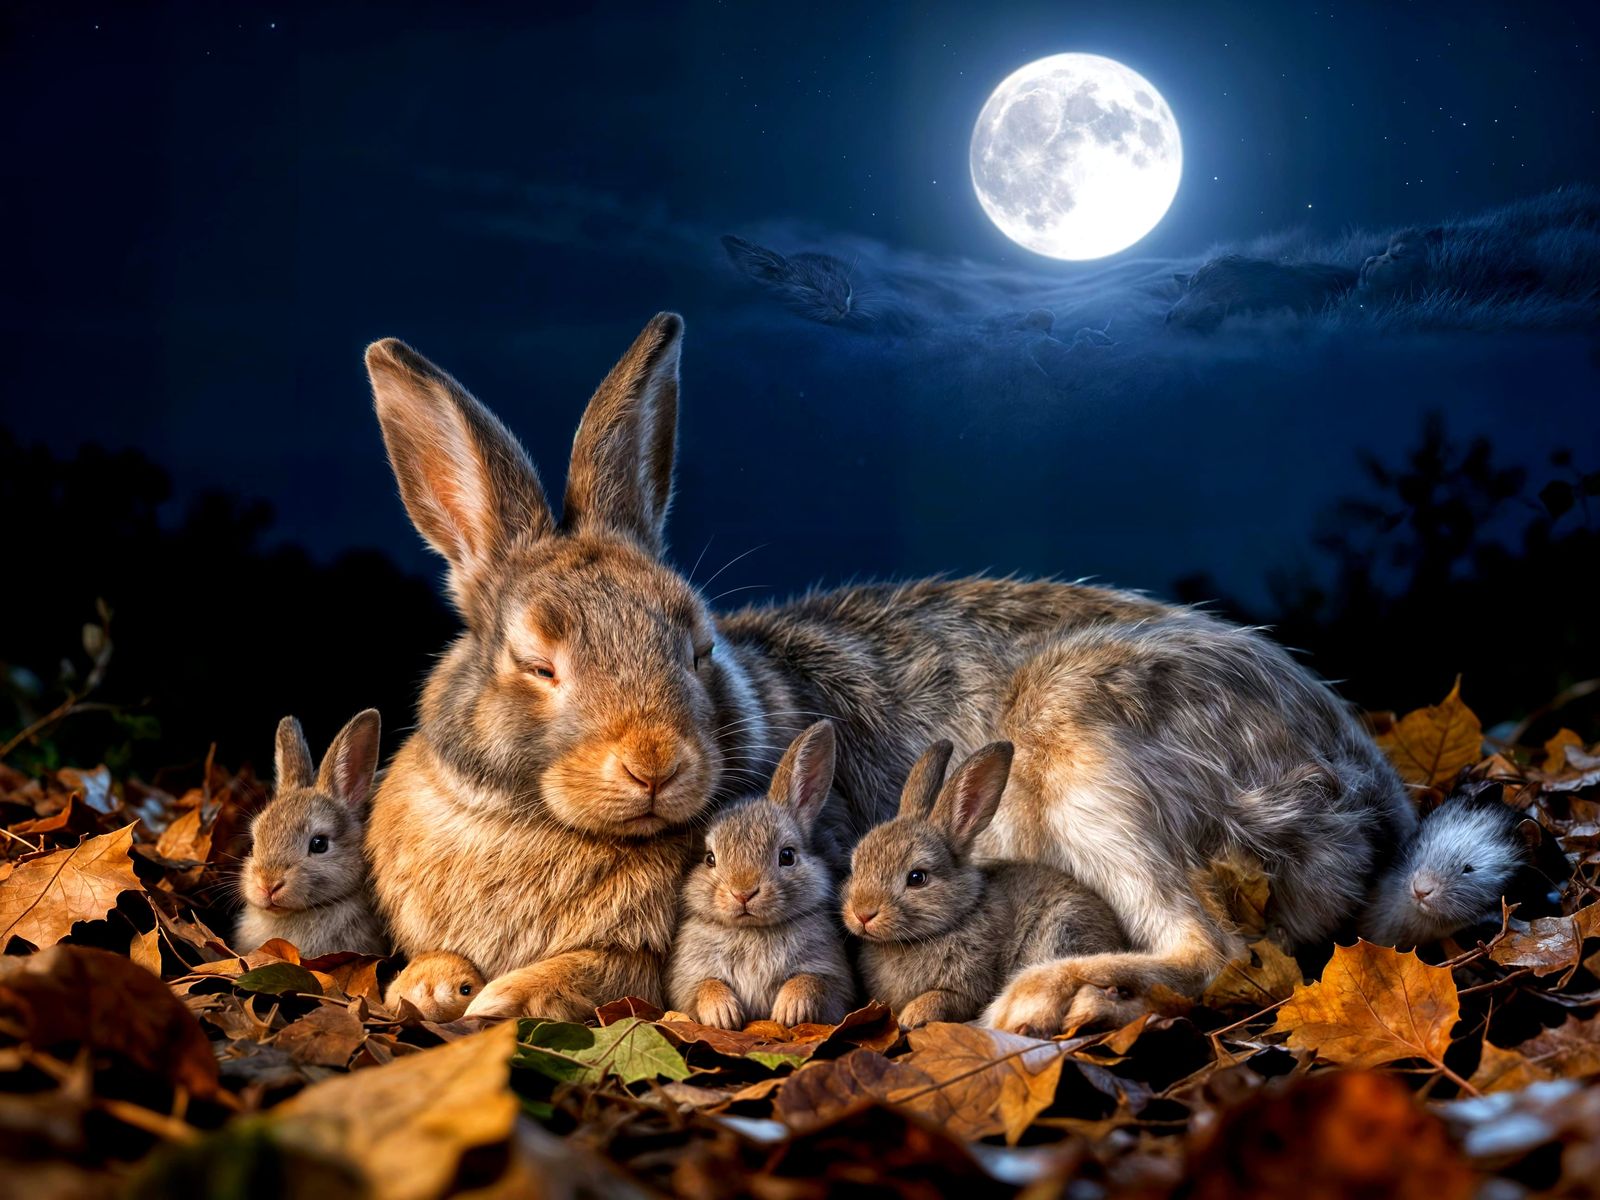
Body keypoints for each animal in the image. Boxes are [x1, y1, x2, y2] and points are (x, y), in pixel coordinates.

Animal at [666, 720, 853, 1029]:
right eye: (710, 858)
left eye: (787, 856)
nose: (743, 893)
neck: (752, 930)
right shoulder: (688, 976)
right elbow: (704, 986)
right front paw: (723, 1015)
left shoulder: (831, 973)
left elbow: (810, 981)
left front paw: (789, 1011)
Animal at [843, 740, 1126, 1029]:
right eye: (855, 866)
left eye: (917, 878)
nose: (862, 914)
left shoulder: (969, 987)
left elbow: (945, 998)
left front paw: (913, 1016)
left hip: (1060, 933)